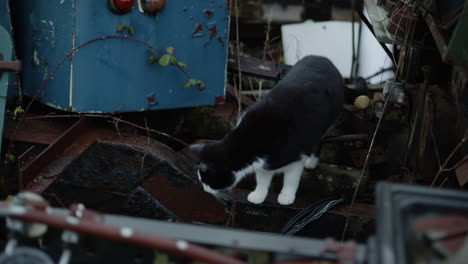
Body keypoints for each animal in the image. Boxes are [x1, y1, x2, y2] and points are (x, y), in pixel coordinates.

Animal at [190, 55, 348, 204]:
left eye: (207, 181)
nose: (204, 190)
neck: (251, 139)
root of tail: (321, 58)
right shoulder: (263, 164)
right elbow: (262, 179)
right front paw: (258, 194)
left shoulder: (295, 158)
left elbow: (291, 179)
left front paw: (286, 196)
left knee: (319, 138)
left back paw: (311, 161)